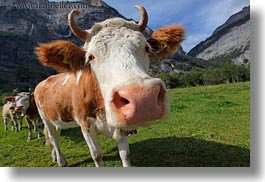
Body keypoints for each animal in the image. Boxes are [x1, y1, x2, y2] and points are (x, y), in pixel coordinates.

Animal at [34, 4, 184, 167]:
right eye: (90, 57)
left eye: (146, 48)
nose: (143, 99)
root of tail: (43, 82)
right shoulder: (85, 123)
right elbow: (97, 154)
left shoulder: (121, 122)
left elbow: (125, 154)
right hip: (44, 117)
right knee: (53, 137)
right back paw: (61, 160)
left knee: (56, 132)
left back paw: (55, 156)